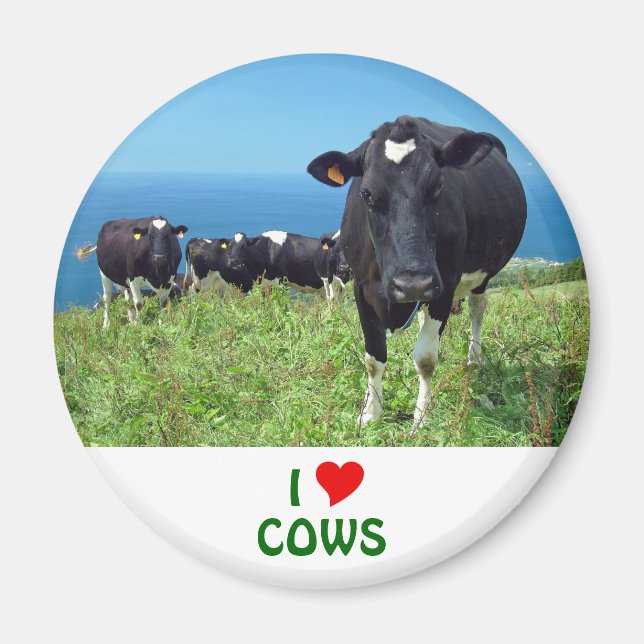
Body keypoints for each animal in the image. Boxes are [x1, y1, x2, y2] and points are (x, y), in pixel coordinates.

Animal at [307, 116, 526, 431]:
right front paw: (370, 412)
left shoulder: (445, 284)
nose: (412, 284)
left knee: (477, 308)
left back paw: (473, 360)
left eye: (437, 187)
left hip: (479, 276)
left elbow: (425, 359)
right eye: (366, 194)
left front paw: (422, 419)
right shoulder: (362, 287)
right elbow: (374, 356)